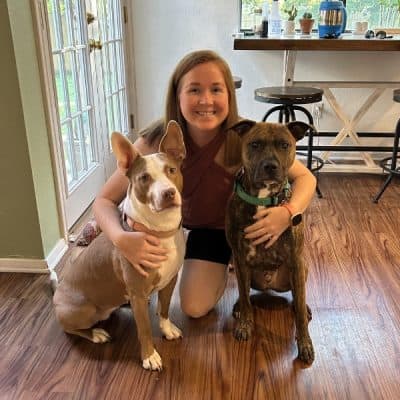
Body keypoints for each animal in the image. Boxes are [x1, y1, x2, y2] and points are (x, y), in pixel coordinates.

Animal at [52, 120, 187, 370]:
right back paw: (96, 334)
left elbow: (164, 310)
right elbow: (144, 329)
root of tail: (56, 295)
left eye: (171, 170)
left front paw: (166, 329)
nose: (168, 193)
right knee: (70, 329)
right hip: (83, 309)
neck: (159, 229)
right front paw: (149, 356)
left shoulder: (170, 280)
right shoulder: (137, 294)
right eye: (144, 178)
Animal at [227, 119, 314, 366]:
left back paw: (303, 306)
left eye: (284, 145)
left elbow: (300, 314)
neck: (263, 198)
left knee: (298, 296)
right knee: (245, 293)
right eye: (255, 144)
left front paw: (305, 344)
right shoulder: (240, 259)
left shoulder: (296, 260)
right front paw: (245, 324)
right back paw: (238, 307)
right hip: (244, 271)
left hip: (300, 270)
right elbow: (245, 297)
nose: (270, 166)